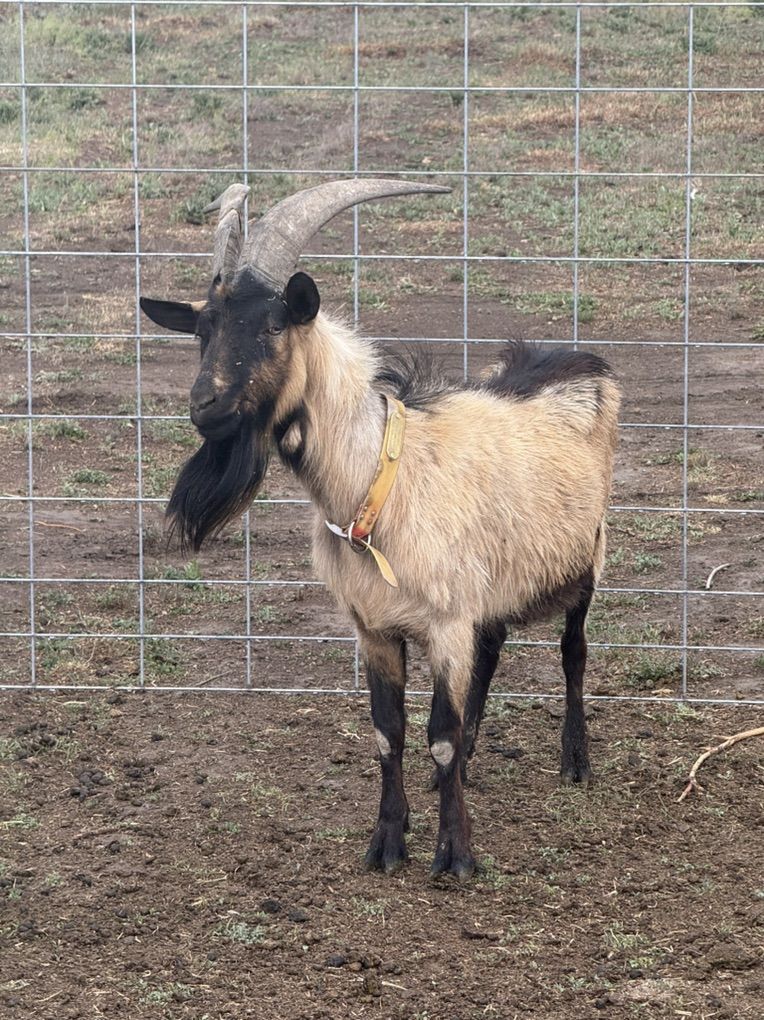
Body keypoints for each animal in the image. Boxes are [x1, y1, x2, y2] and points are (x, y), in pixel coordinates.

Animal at [140, 180, 620, 880]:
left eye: (273, 324)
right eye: (203, 329)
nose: (204, 406)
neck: (378, 479)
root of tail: (582, 359)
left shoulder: (445, 623)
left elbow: (440, 733)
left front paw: (455, 856)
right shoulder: (374, 627)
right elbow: (388, 732)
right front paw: (388, 843)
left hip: (587, 558)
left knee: (573, 651)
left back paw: (575, 761)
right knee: (493, 650)